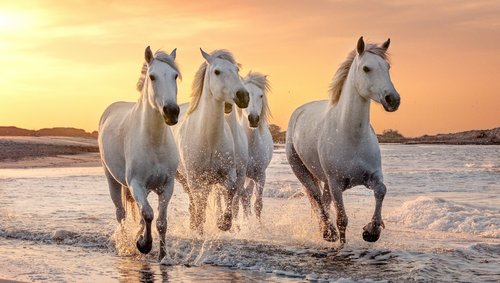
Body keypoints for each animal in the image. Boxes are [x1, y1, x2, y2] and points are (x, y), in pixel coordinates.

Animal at [98, 47, 181, 262]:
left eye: (175, 76)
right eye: (152, 76)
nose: (171, 112)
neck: (154, 142)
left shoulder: (167, 185)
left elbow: (160, 221)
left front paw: (163, 256)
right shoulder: (136, 183)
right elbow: (149, 214)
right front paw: (144, 245)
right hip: (112, 180)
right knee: (121, 214)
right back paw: (126, 246)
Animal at [173, 49, 249, 235]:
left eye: (237, 69)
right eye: (217, 71)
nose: (243, 96)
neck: (209, 139)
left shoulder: (228, 174)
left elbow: (230, 191)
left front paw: (223, 223)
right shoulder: (194, 178)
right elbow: (199, 204)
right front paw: (199, 228)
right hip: (183, 177)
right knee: (193, 201)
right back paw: (194, 224)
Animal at [288, 37, 400, 245]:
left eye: (387, 66)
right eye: (366, 68)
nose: (393, 99)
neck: (351, 136)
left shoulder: (372, 176)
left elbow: (381, 190)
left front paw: (371, 231)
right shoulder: (336, 184)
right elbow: (342, 219)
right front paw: (342, 243)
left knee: (323, 201)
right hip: (302, 171)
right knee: (317, 198)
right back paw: (328, 232)